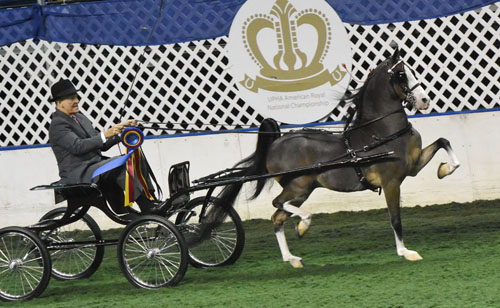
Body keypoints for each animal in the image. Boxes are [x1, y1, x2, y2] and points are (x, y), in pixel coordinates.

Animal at [201, 47, 458, 268]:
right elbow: (395, 219)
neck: (381, 134)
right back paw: (303, 225)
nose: (425, 100)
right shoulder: (391, 182)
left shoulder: (413, 166)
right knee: (277, 204)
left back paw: (292, 257)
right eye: (402, 74)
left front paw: (444, 169)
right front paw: (406, 252)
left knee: (277, 217)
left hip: (302, 191)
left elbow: (444, 141)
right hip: (298, 186)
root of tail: (276, 143)